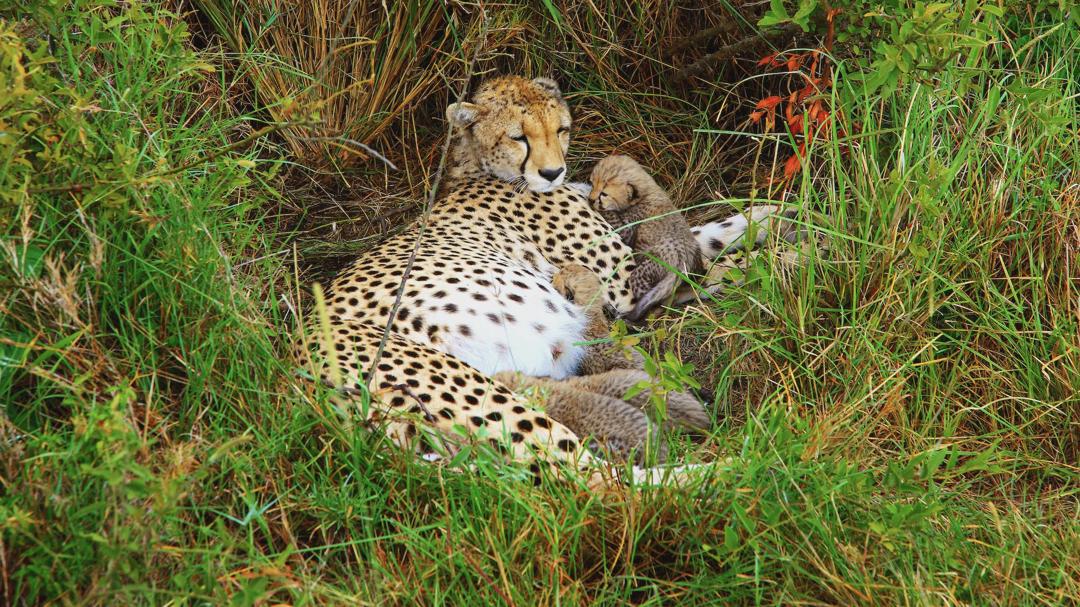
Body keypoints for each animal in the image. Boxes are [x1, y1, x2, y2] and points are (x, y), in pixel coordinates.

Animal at [293, 75, 796, 477]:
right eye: (520, 136)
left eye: (561, 129)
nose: (554, 171)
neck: (483, 170)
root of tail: (296, 378)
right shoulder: (624, 286)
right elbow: (707, 263)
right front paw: (790, 258)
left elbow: (706, 234)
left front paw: (780, 215)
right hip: (478, 393)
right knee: (593, 484)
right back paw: (745, 474)